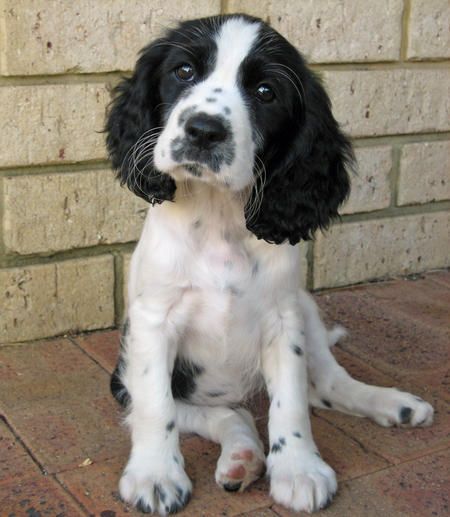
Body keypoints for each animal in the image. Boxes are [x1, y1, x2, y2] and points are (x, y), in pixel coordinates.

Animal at [104, 14, 432, 512]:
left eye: (265, 92)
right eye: (183, 71)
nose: (203, 131)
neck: (219, 218)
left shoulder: (284, 319)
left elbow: (292, 400)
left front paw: (298, 467)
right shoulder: (151, 323)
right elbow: (157, 406)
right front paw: (155, 475)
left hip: (307, 307)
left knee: (326, 386)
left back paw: (394, 404)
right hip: (137, 382)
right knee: (228, 414)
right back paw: (241, 456)